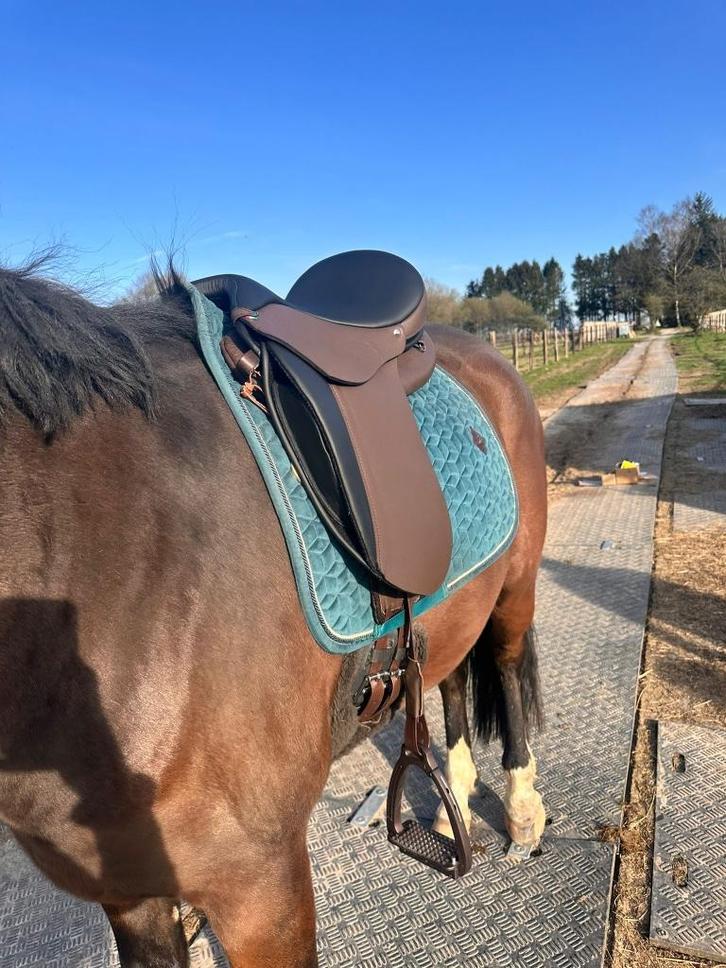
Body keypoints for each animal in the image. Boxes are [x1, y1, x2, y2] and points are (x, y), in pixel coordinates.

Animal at [0, 256, 546, 968]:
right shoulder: (130, 893)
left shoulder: (262, 885)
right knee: (451, 674)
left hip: (517, 582)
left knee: (505, 668)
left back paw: (523, 811)